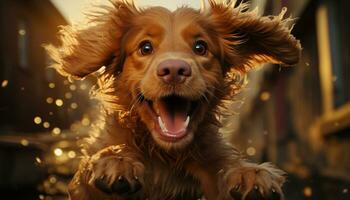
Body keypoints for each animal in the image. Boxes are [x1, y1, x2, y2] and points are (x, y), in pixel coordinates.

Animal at [45, 0, 300, 200]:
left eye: (200, 47)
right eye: (145, 47)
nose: (175, 70)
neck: (165, 155)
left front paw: (249, 174)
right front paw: (117, 160)